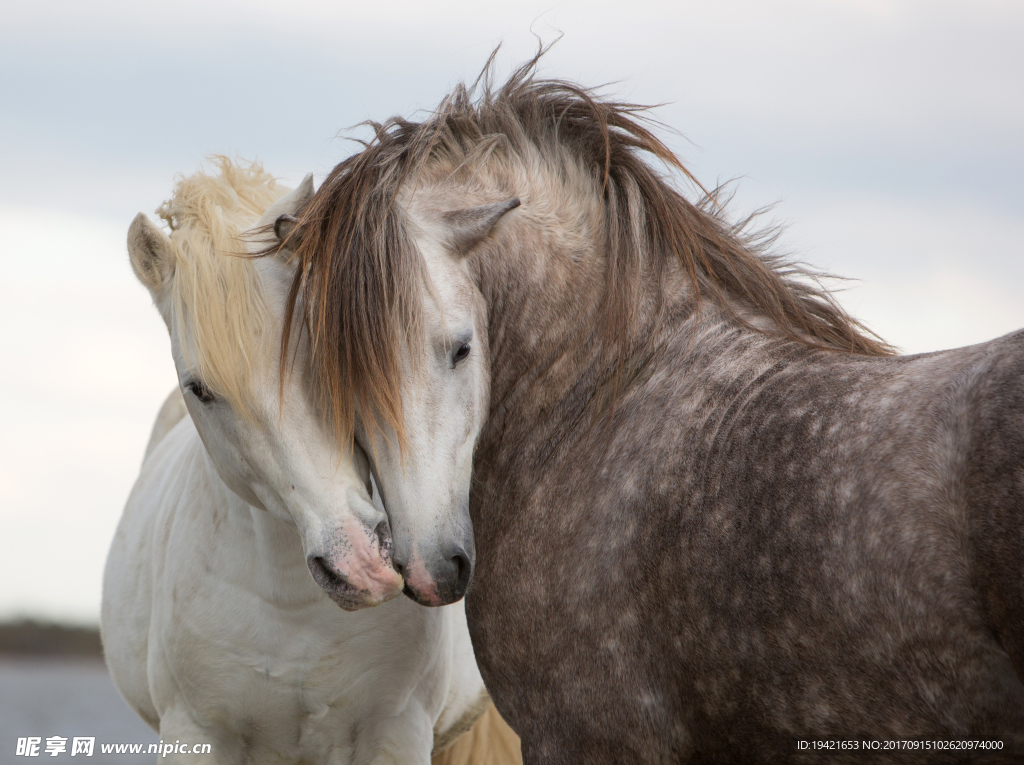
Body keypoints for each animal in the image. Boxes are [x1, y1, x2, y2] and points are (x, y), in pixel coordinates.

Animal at [101, 158, 501, 761]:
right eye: (200, 388)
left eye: (324, 343)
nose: (358, 562)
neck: (294, 609)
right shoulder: (196, 731)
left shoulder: (398, 729)